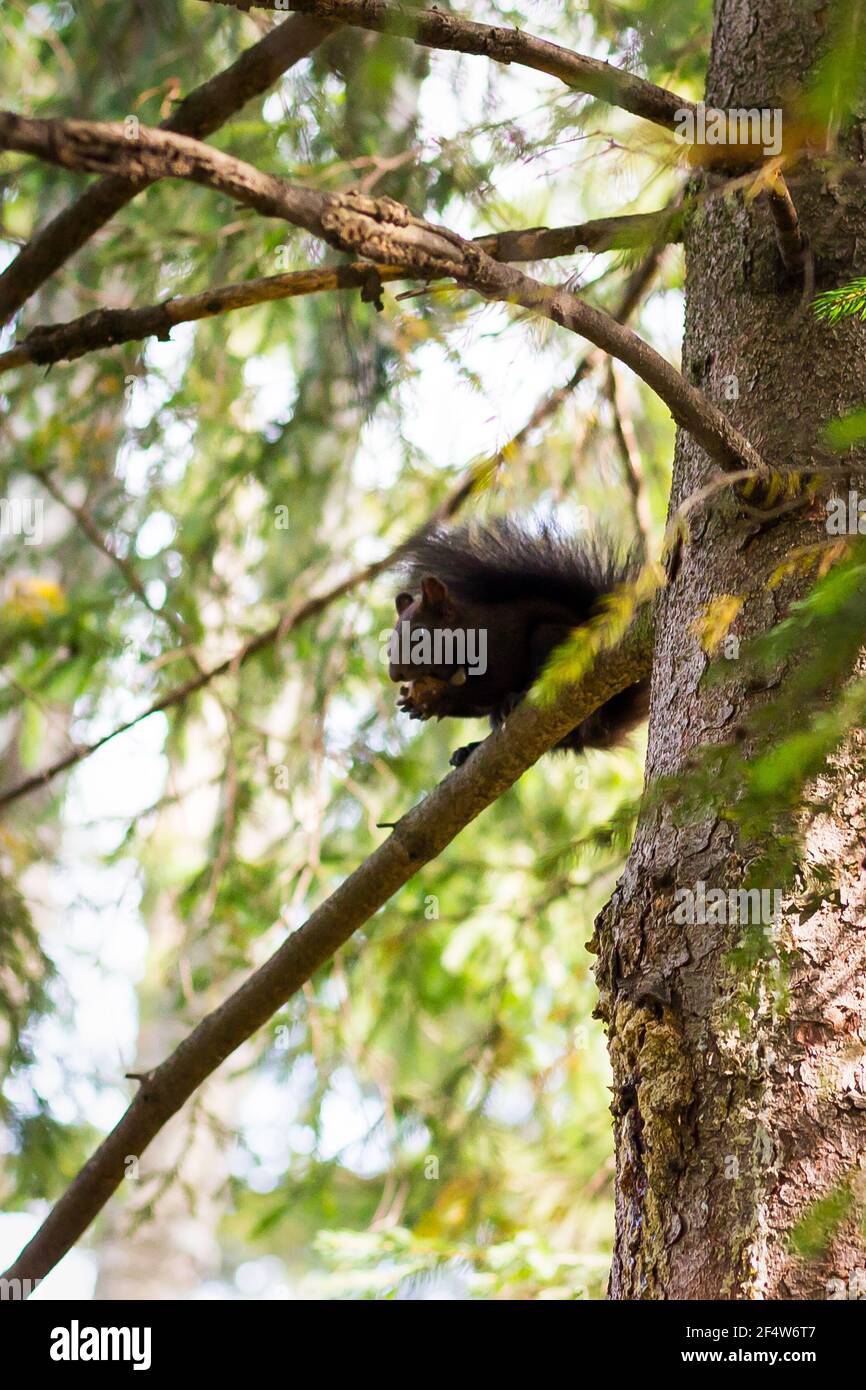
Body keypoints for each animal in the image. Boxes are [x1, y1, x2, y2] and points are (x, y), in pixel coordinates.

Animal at [388, 516, 650, 767]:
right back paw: (470, 749)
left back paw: (518, 698)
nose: (394, 674)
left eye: (420, 634)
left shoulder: (496, 650)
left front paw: (434, 696)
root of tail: (603, 719)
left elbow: (485, 689)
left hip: (551, 640)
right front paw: (424, 701)